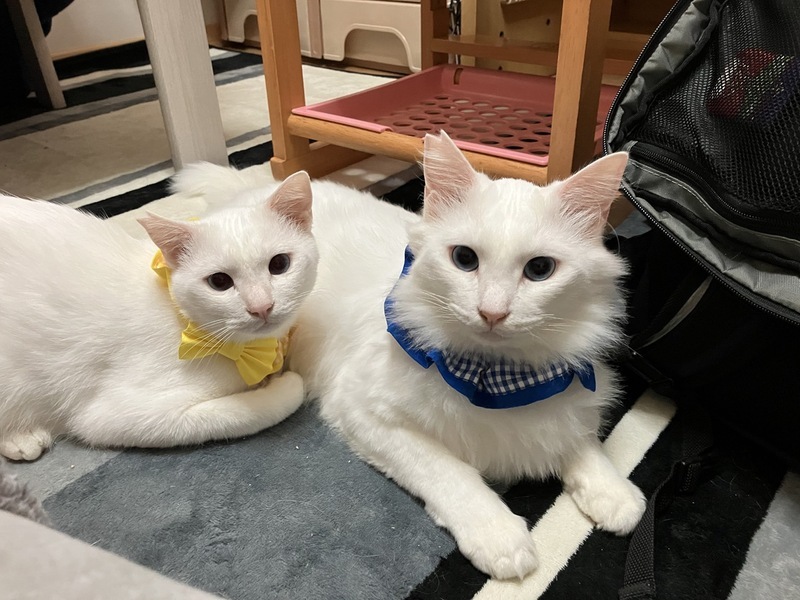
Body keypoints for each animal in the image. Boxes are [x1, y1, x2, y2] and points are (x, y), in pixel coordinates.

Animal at [0, 172, 318, 461]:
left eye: (279, 264)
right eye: (219, 282)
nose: (261, 306)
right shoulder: (117, 413)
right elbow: (242, 413)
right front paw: (282, 384)